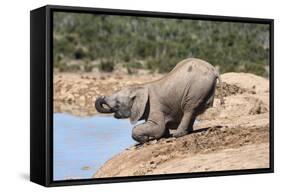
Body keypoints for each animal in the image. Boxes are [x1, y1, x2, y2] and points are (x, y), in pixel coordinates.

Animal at [94, 57, 223, 143]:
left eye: (117, 103)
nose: (102, 98)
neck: (140, 87)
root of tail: (214, 69)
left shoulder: (154, 105)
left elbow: (157, 127)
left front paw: (145, 139)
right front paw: (163, 136)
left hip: (197, 87)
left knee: (189, 109)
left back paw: (177, 135)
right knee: (193, 110)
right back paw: (187, 132)